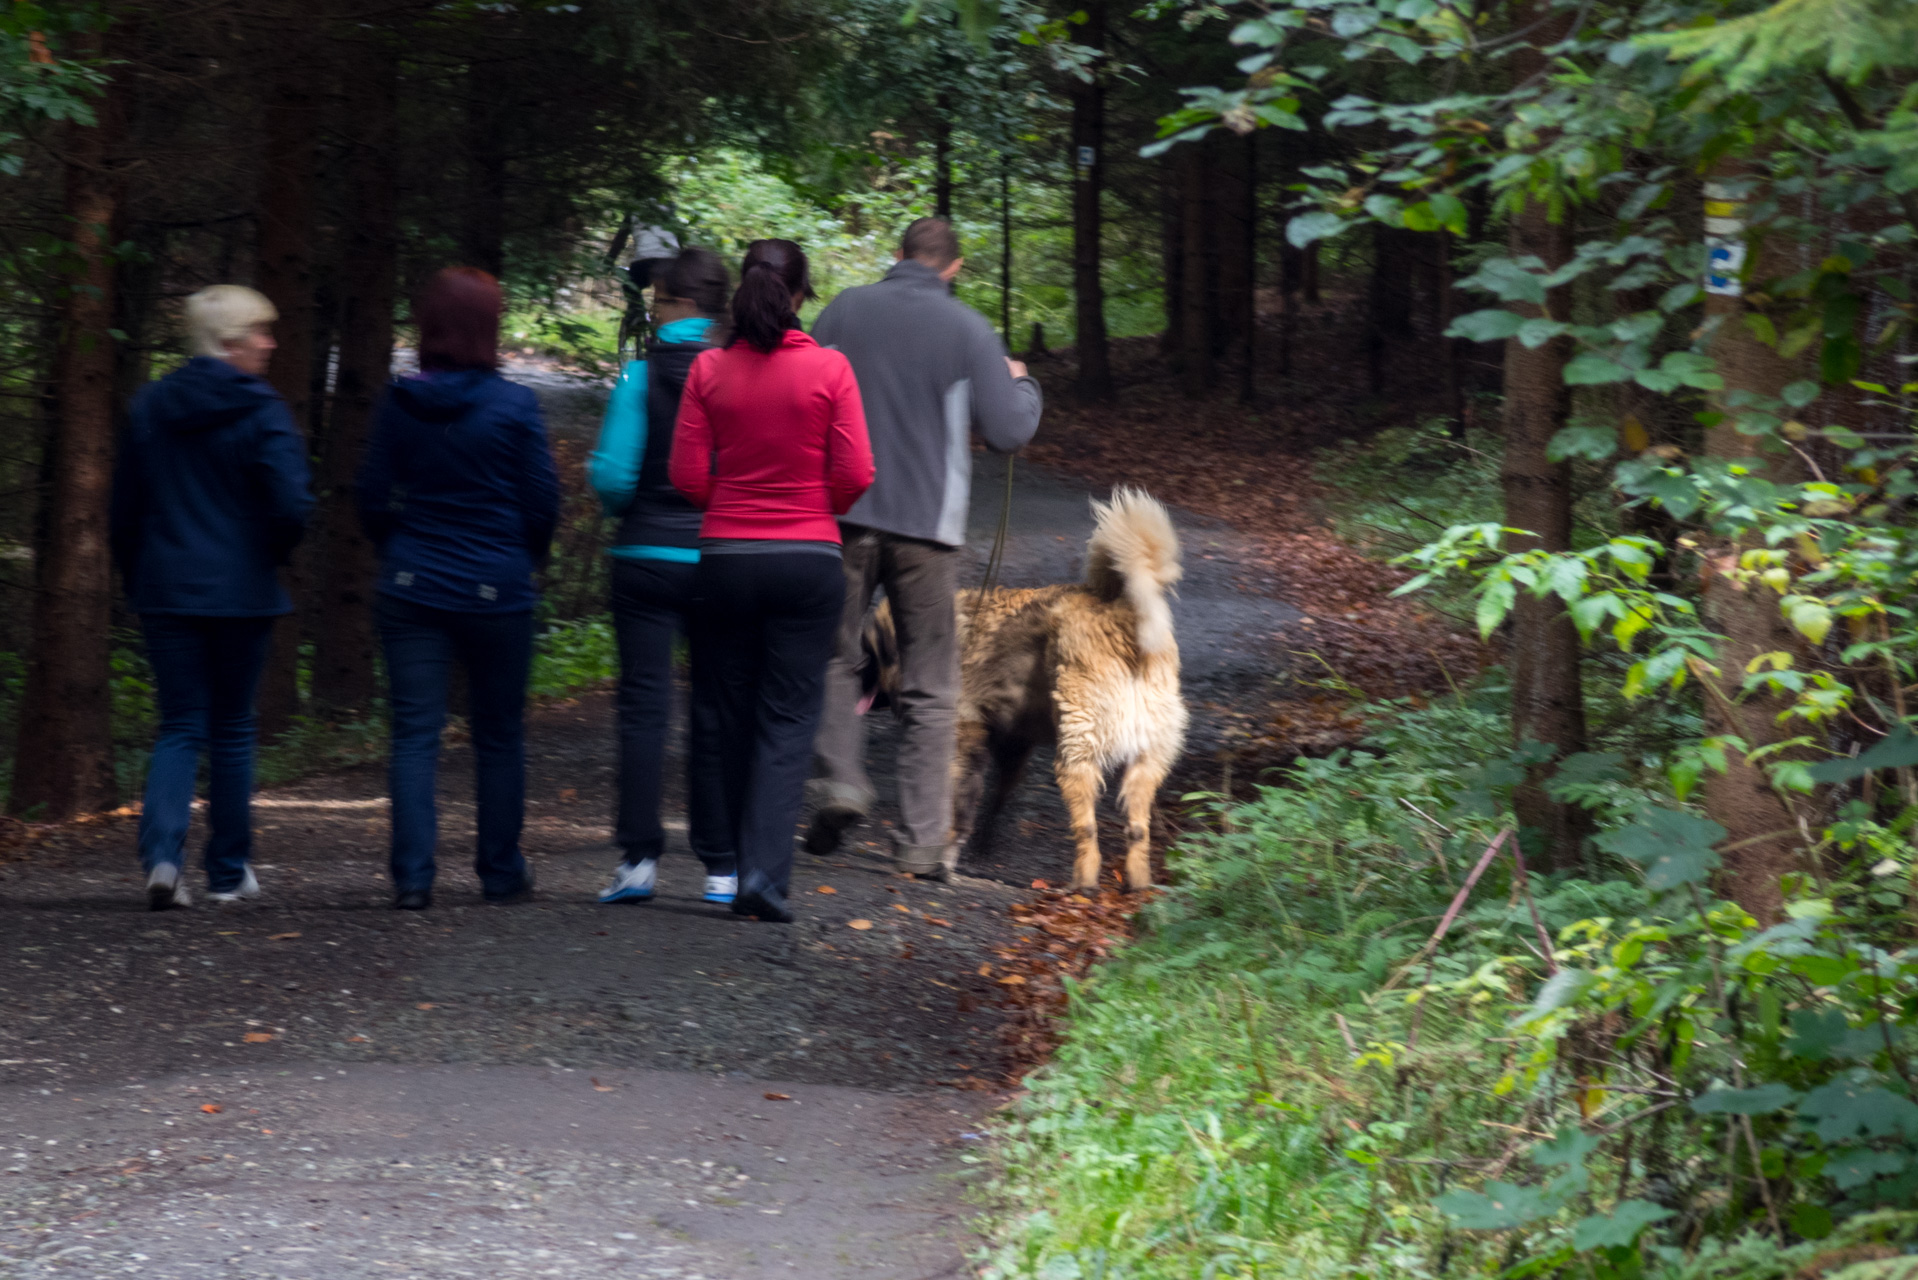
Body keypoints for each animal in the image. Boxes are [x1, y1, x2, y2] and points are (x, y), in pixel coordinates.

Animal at [866, 487, 1181, 890]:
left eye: (869, 657)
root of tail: (1124, 614)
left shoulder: (964, 736)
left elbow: (958, 805)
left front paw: (944, 859)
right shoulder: (1013, 741)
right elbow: (993, 799)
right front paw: (977, 847)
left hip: (1077, 746)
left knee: (1087, 826)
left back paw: (1083, 880)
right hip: (1146, 755)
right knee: (1138, 829)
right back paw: (1138, 880)